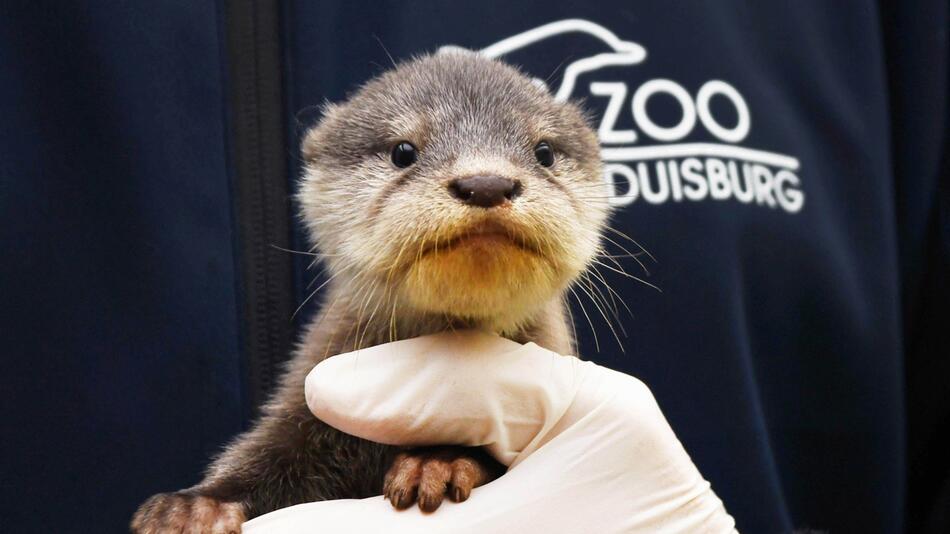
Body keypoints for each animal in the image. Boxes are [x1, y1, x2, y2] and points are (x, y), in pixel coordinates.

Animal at [130, 49, 612, 532]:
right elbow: (268, 453)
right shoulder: (301, 404)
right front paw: (196, 506)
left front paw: (437, 462)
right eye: (403, 151)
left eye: (544, 151)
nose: (487, 182)